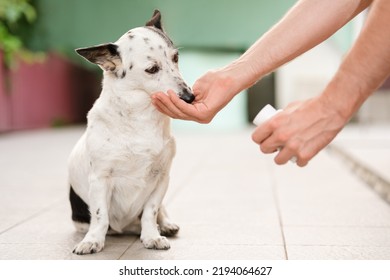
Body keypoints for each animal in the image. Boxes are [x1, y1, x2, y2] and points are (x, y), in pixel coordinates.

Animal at [68, 10, 195, 255]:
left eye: (175, 58)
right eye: (152, 69)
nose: (189, 97)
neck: (140, 118)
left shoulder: (161, 178)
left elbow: (151, 211)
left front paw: (152, 236)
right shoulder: (100, 180)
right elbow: (100, 216)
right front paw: (93, 240)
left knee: (159, 211)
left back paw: (165, 225)